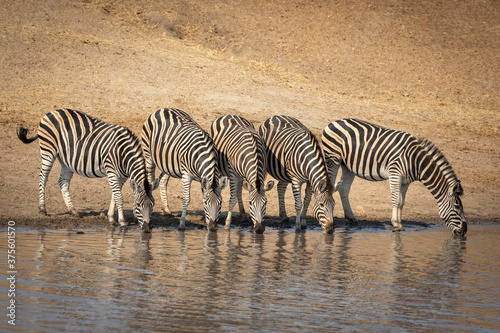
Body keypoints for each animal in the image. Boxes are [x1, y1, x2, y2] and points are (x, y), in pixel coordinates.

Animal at [17, 108, 154, 231]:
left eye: (153, 205)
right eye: (138, 206)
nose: (147, 229)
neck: (123, 152)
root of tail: (50, 112)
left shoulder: (122, 176)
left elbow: (114, 196)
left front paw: (111, 218)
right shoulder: (111, 171)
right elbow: (119, 197)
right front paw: (122, 221)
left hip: (66, 159)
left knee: (63, 182)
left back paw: (72, 211)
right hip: (48, 151)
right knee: (43, 177)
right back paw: (42, 209)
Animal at [322, 118, 466, 235]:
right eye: (457, 207)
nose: (464, 231)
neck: (415, 162)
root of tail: (333, 122)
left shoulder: (406, 181)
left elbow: (402, 202)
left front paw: (399, 224)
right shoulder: (395, 174)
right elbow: (396, 200)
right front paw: (396, 224)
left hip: (348, 166)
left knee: (343, 189)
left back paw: (351, 217)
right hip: (333, 159)